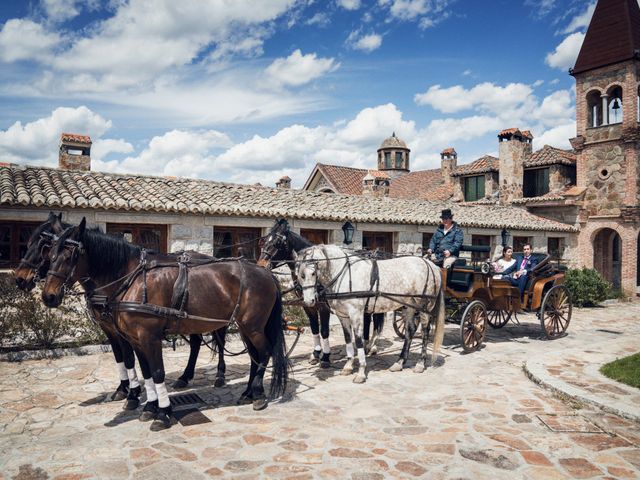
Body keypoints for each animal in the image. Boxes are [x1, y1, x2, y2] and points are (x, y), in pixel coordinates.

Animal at [42, 219, 288, 430]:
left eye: (70, 256)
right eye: (50, 253)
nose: (48, 296)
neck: (133, 280)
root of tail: (265, 272)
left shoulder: (149, 337)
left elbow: (158, 372)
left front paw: (163, 413)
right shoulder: (135, 339)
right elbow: (146, 371)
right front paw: (149, 407)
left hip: (253, 326)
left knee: (265, 352)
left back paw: (258, 394)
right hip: (246, 326)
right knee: (255, 355)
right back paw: (248, 393)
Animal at [296, 244, 444, 382]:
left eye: (313, 273)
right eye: (300, 275)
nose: (309, 301)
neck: (344, 275)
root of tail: (431, 265)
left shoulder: (356, 314)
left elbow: (359, 341)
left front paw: (361, 372)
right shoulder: (343, 316)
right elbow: (348, 339)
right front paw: (348, 366)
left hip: (424, 307)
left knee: (425, 332)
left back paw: (420, 363)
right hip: (409, 307)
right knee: (410, 331)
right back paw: (399, 362)